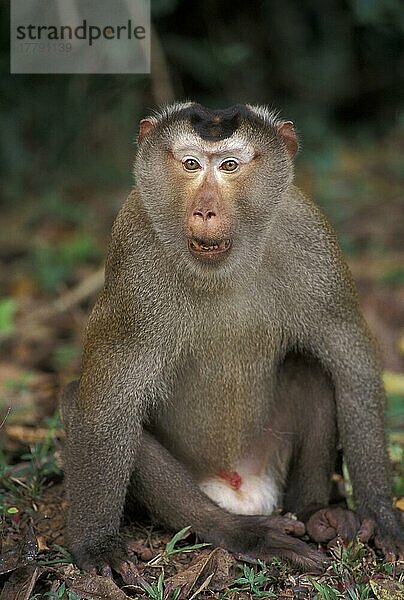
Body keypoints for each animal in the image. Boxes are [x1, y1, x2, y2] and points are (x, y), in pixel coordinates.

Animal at [59, 102, 400, 576]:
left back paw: (316, 513)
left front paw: (380, 513)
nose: (205, 211)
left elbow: (353, 363)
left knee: (311, 367)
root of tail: (239, 487)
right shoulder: (134, 256)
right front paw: (95, 543)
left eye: (230, 166)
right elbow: (107, 404)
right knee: (81, 402)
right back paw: (239, 531)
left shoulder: (312, 240)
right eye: (190, 164)